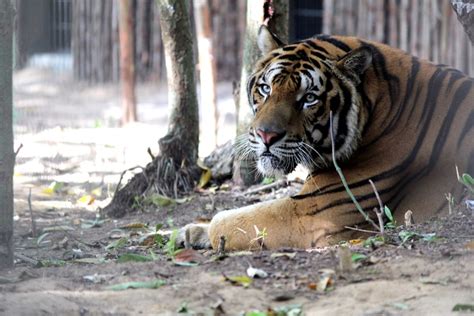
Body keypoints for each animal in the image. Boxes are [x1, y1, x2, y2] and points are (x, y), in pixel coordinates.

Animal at [179, 25, 474, 251]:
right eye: (265, 88)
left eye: (309, 98)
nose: (266, 135)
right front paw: (185, 232)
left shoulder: (313, 213)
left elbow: (225, 220)